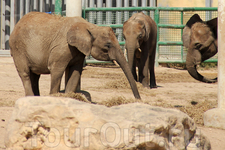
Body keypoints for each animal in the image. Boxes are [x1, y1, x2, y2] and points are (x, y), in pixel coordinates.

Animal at [10, 11, 142, 99]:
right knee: (25, 73)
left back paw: (35, 98)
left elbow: (75, 71)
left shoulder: (79, 50)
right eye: (108, 45)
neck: (90, 26)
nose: (138, 99)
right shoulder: (62, 47)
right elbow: (57, 70)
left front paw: (68, 97)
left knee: (35, 76)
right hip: (18, 49)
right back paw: (29, 97)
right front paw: (54, 97)